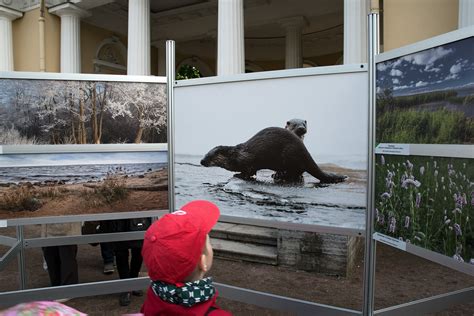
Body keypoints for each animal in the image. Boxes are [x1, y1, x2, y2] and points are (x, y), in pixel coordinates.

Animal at [200, 127, 344, 184]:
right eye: (205, 153)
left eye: (209, 156)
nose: (201, 161)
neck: (236, 156)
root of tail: (305, 152)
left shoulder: (248, 161)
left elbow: (248, 171)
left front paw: (238, 175)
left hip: (291, 156)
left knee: (298, 172)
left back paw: (283, 177)